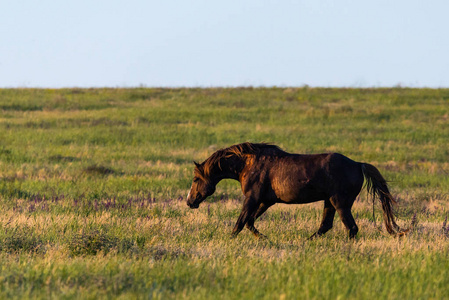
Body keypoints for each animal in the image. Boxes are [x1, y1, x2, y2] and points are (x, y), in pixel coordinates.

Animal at [185, 143, 400, 239]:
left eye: (196, 179)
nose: (189, 201)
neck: (248, 164)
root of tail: (358, 164)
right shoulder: (266, 201)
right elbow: (250, 222)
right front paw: (265, 239)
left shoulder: (252, 198)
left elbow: (240, 222)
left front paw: (230, 240)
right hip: (329, 202)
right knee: (325, 226)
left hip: (340, 203)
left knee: (351, 228)